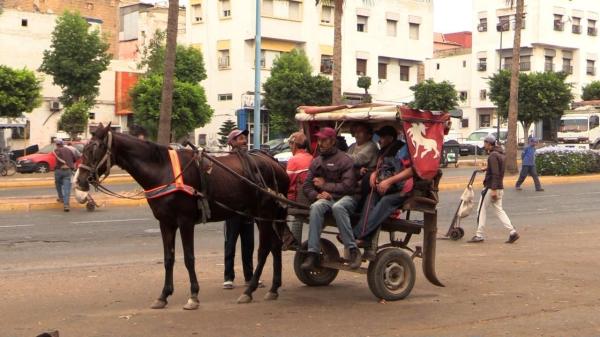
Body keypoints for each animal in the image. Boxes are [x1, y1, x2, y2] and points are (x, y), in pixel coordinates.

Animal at [75, 122, 292, 308]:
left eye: (94, 149)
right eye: (83, 150)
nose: (79, 180)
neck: (164, 171)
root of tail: (274, 162)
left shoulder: (185, 221)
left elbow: (189, 258)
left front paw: (193, 295)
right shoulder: (165, 223)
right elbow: (168, 259)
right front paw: (163, 295)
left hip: (264, 212)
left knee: (264, 249)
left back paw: (250, 290)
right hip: (264, 214)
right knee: (275, 246)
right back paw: (274, 288)